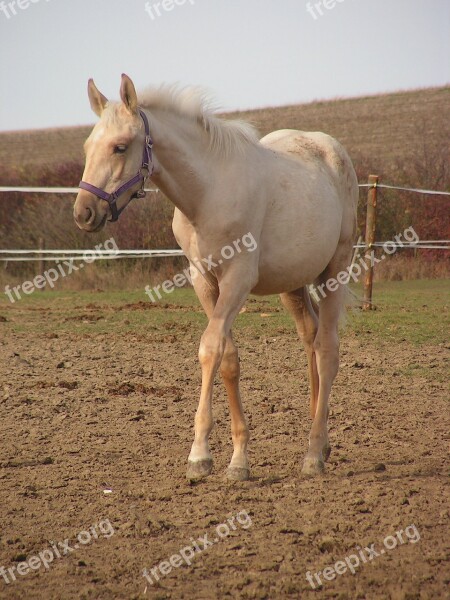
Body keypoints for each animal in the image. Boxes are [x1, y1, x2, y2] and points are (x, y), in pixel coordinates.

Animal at [74, 72, 358, 480]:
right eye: (88, 147)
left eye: (120, 147)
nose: (83, 212)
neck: (208, 193)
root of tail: (331, 151)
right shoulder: (203, 281)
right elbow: (228, 358)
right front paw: (237, 456)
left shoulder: (237, 281)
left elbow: (210, 349)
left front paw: (202, 456)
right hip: (293, 283)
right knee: (311, 337)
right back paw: (323, 441)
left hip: (336, 269)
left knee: (327, 350)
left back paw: (314, 453)